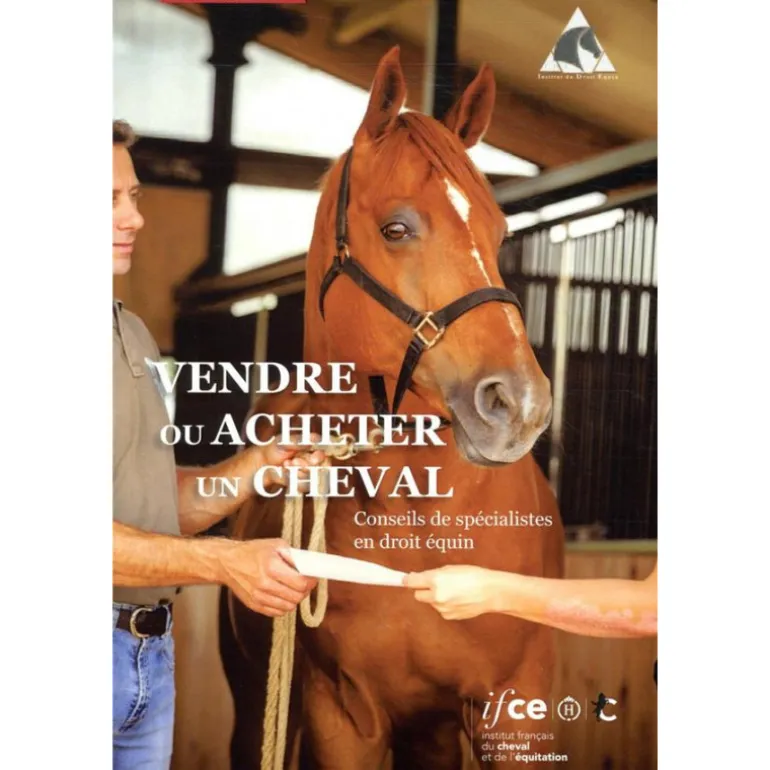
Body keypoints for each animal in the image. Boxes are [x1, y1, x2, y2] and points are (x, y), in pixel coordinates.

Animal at [219, 46, 565, 770]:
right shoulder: (343, 716)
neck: (421, 530)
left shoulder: (516, 709)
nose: (519, 403)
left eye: (499, 233)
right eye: (397, 228)